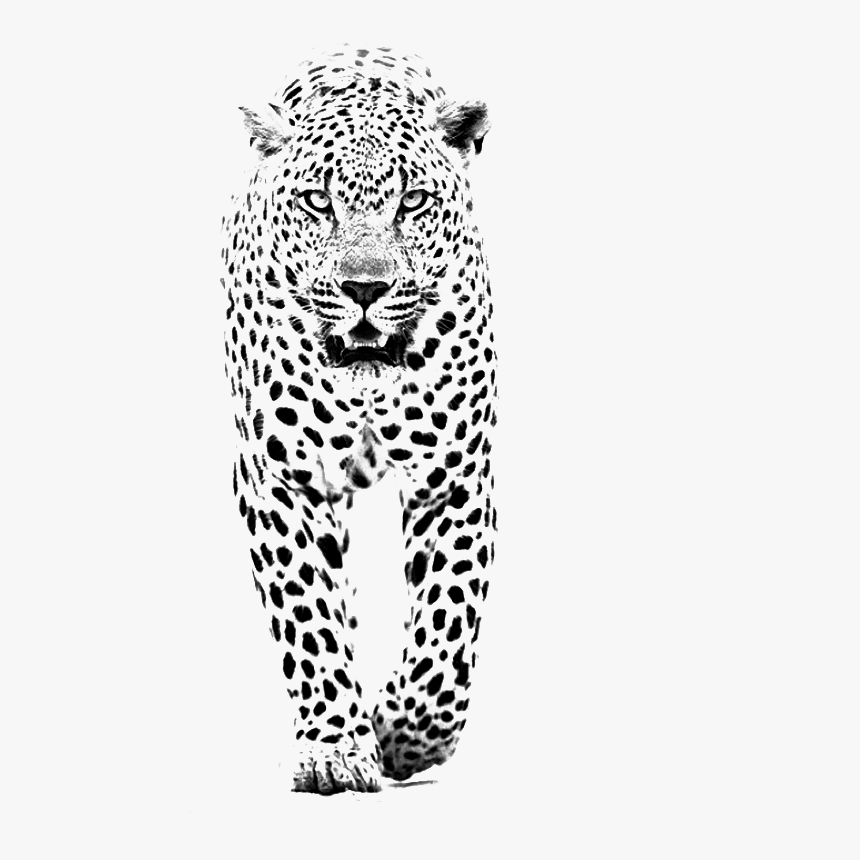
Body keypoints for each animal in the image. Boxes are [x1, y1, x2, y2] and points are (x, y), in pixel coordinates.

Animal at [220, 45, 497, 794]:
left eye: (412, 202)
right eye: (319, 202)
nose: (365, 289)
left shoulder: (453, 477)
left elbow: (448, 628)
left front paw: (402, 734)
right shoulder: (282, 479)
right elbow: (308, 615)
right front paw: (337, 748)